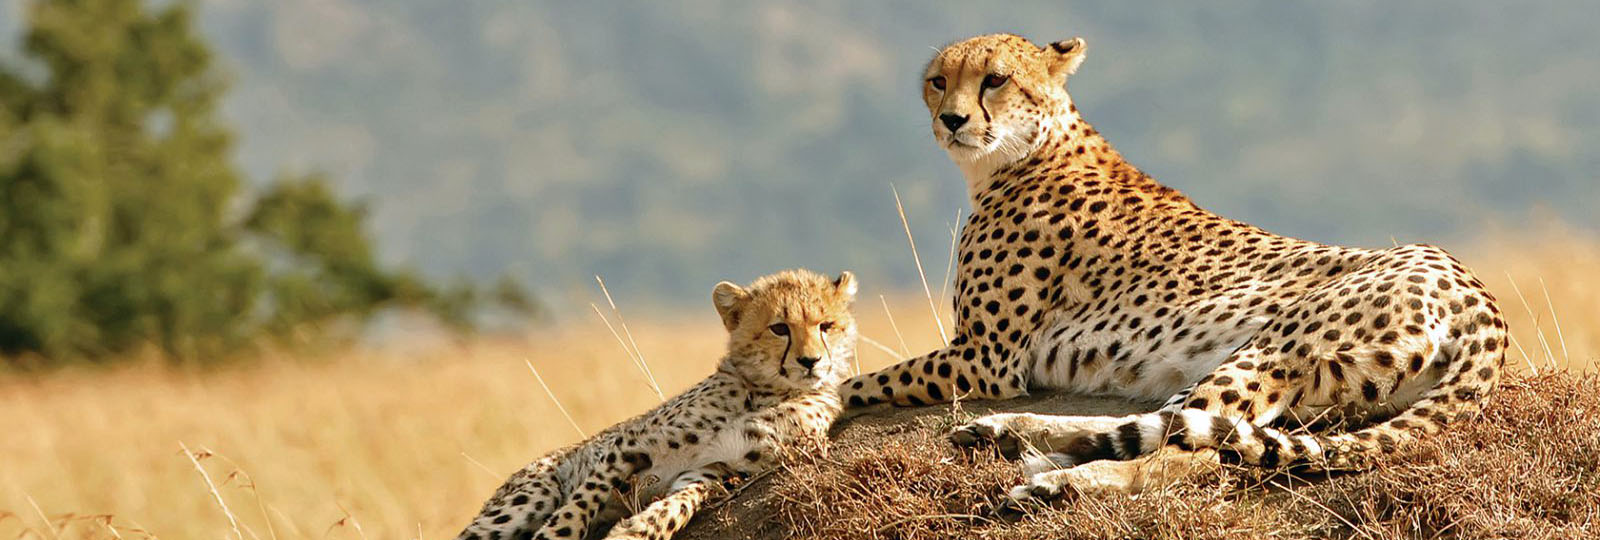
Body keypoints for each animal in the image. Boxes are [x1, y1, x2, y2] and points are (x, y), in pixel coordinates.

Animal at [460, 270, 864, 540]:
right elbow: (583, 499)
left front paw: (640, 528)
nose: (811, 361)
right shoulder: (628, 445)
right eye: (779, 328)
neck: (765, 391)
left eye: (827, 325)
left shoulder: (717, 469)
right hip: (531, 495)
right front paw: (560, 533)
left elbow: (680, 502)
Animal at [844, 33, 1504, 504]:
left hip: (1273, 348)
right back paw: (1014, 436)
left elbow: (858, 381)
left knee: (1195, 449)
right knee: (1171, 424)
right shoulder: (981, 356)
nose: (951, 119)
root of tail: (1477, 292)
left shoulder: (985, 358)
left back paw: (1057, 477)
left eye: (995, 79)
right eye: (938, 82)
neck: (1027, 149)